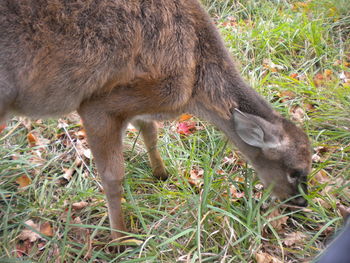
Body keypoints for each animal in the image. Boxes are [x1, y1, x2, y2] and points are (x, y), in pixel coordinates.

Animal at [0, 0, 312, 245]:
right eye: (295, 171)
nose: (302, 203)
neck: (196, 83)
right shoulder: (99, 103)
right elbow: (113, 177)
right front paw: (120, 239)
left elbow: (150, 131)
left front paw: (161, 174)